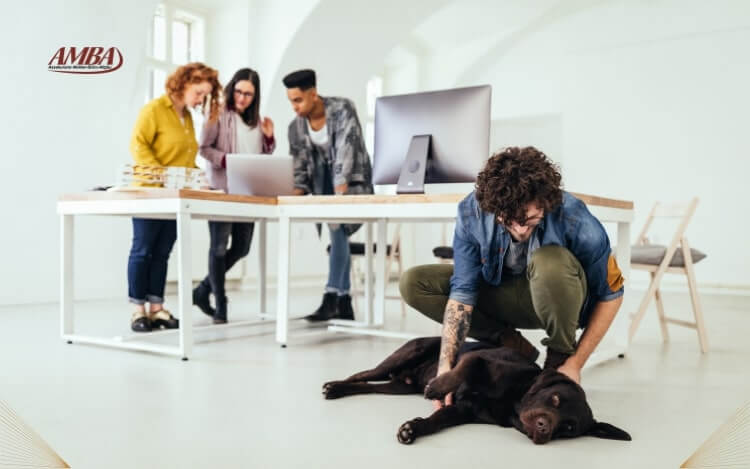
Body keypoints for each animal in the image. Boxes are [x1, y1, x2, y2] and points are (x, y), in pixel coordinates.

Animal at [320, 336, 632, 442]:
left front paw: (413, 429)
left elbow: (436, 420)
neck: (513, 400)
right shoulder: (480, 359)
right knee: (361, 374)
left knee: (367, 385)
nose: (544, 428)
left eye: (568, 428)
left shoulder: (461, 412)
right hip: (404, 355)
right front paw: (439, 386)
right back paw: (334, 386)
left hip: (397, 387)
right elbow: (465, 368)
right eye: (554, 399)